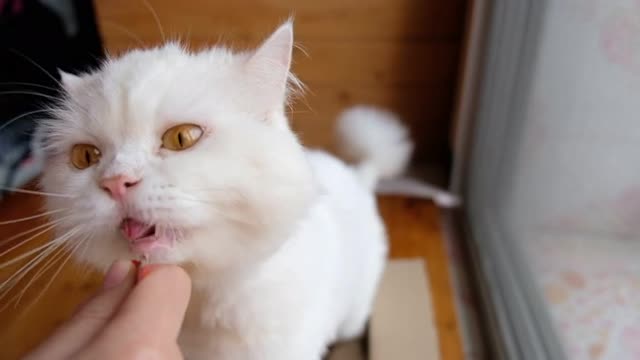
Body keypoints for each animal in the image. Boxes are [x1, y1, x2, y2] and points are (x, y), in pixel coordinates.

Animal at [35, 23, 412, 360]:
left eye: (183, 138)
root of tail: (359, 173)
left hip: (353, 315)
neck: (201, 300)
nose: (116, 181)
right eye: (86, 157)